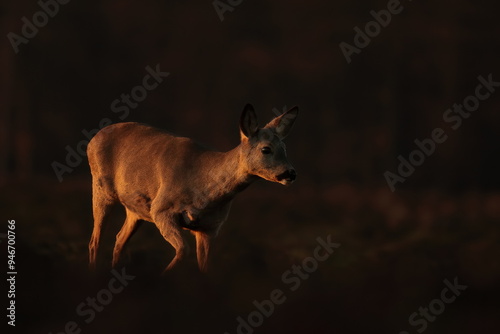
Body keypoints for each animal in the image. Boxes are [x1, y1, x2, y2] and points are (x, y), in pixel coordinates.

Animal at [88, 104, 298, 274]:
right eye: (266, 149)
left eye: (285, 147)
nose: (291, 173)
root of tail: (93, 138)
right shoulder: (161, 209)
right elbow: (183, 250)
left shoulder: (209, 228)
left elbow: (204, 266)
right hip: (101, 189)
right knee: (95, 240)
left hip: (136, 210)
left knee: (119, 240)